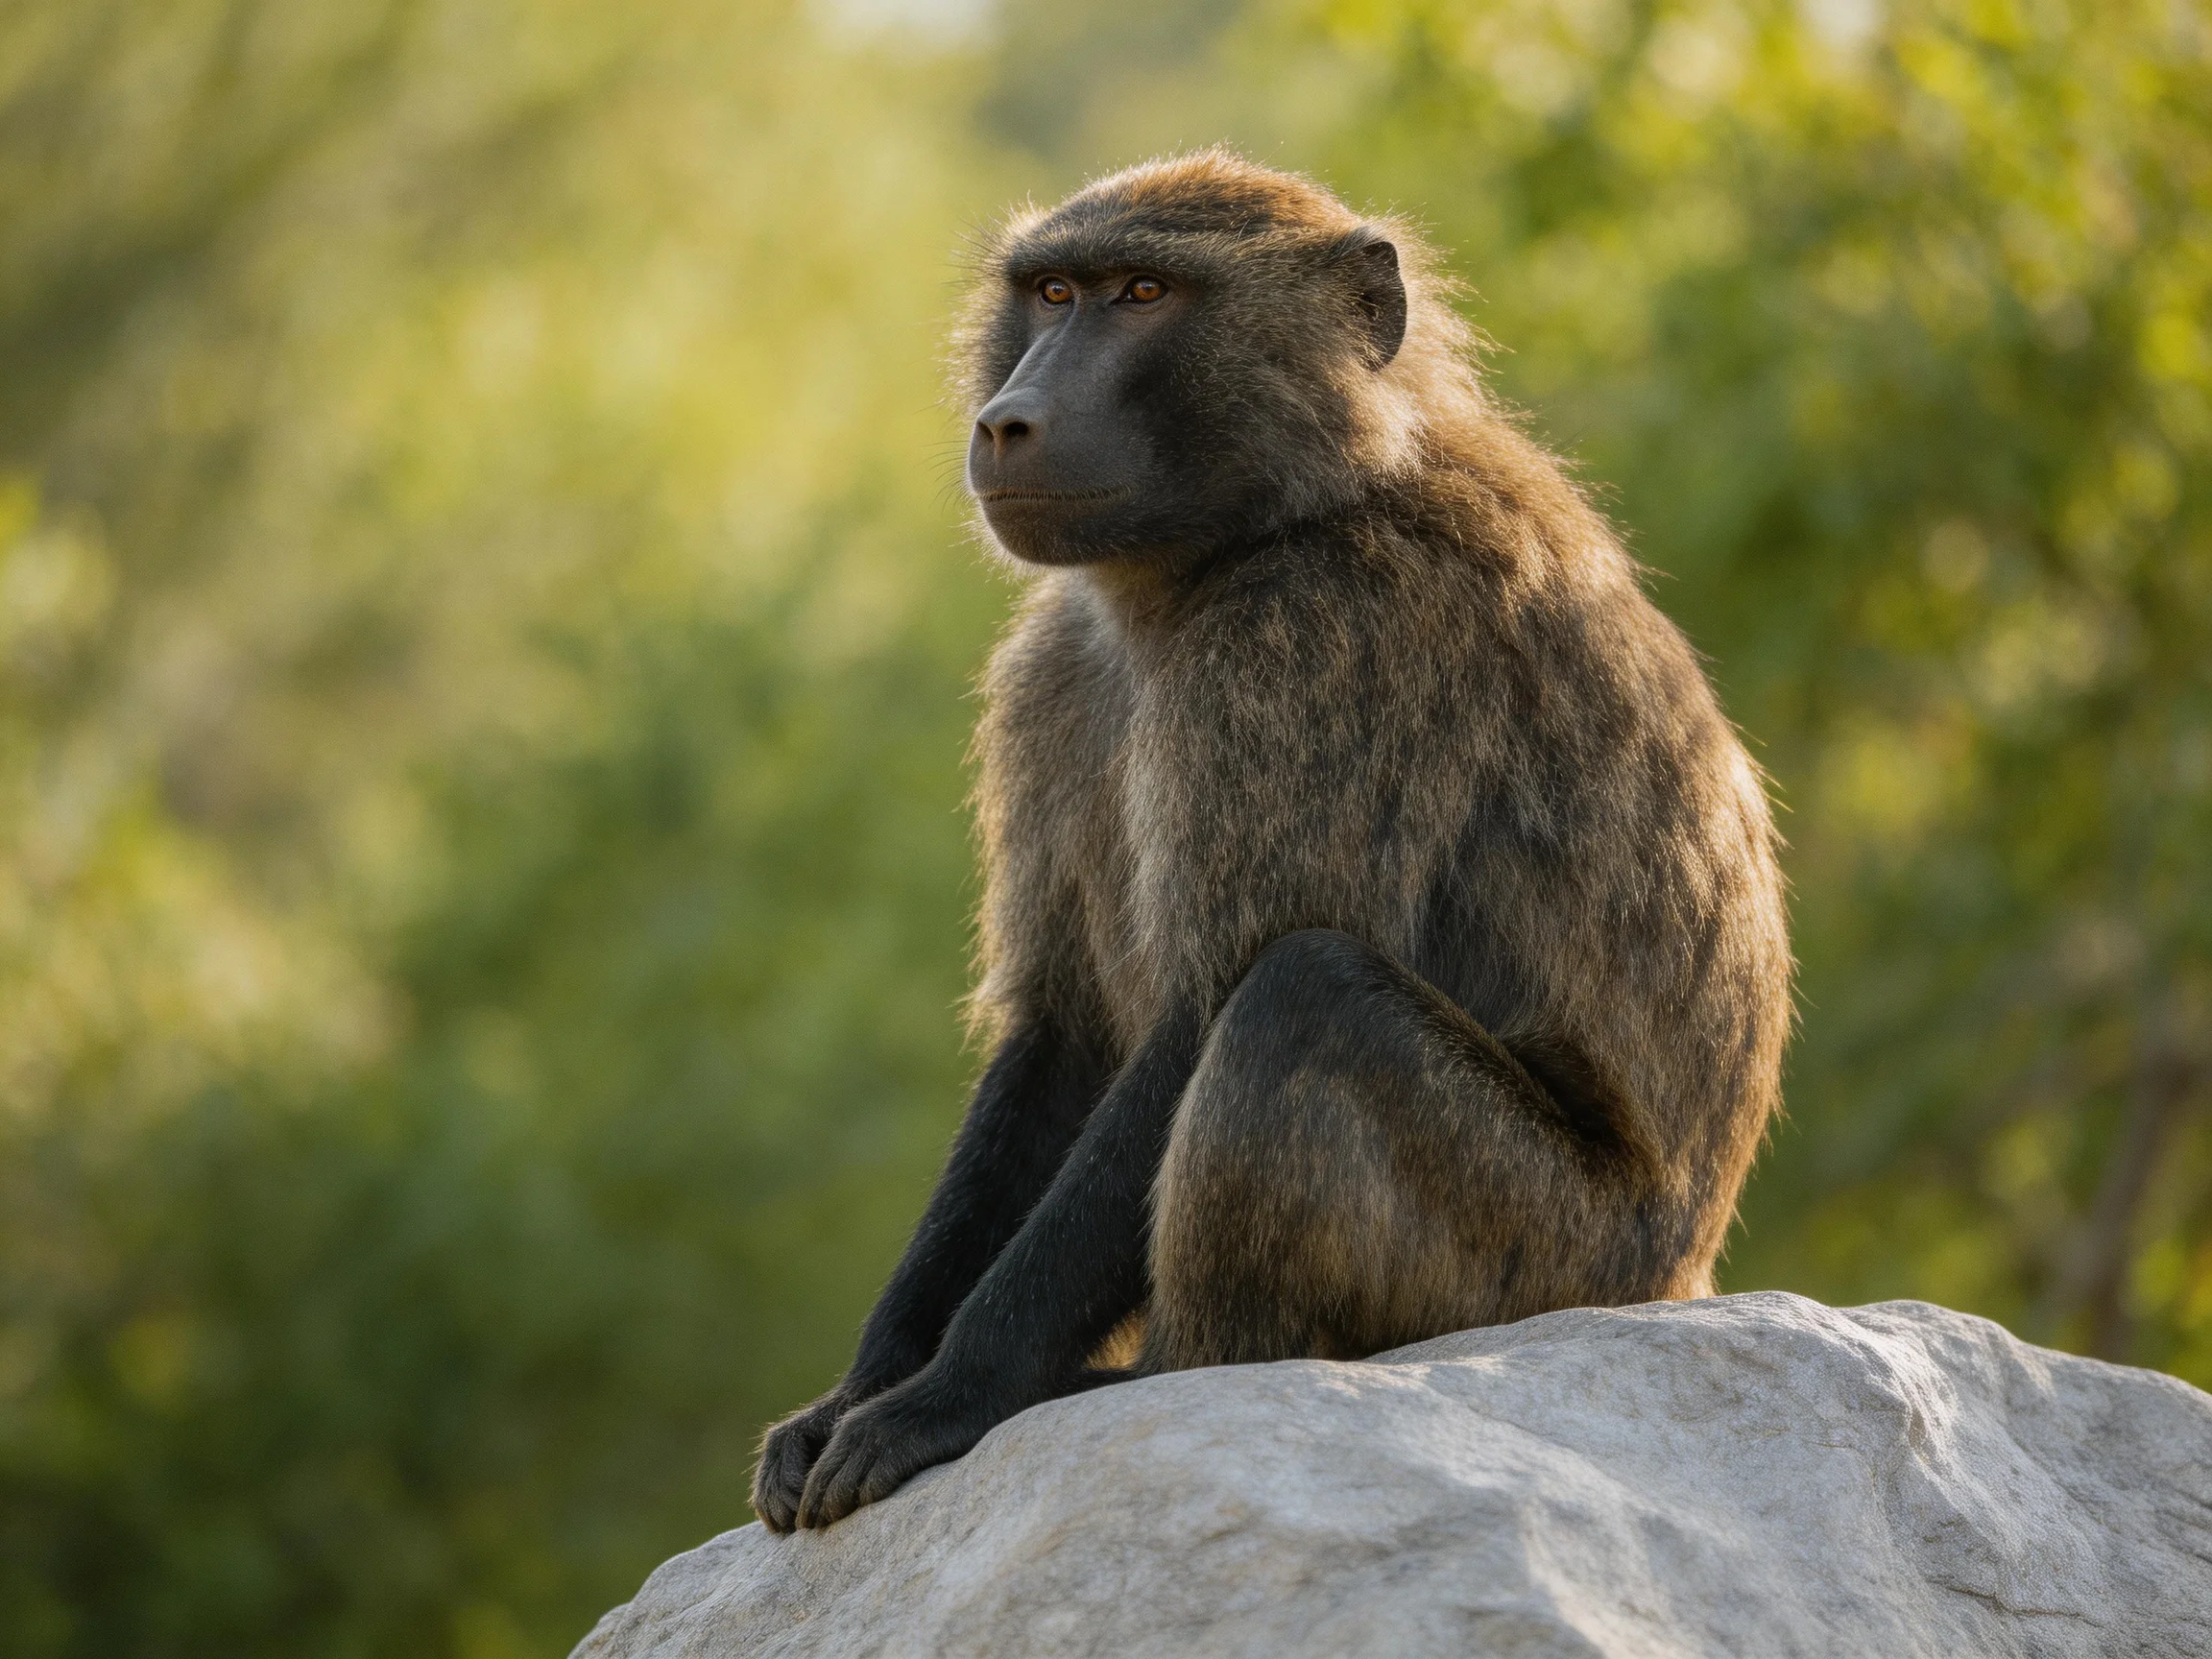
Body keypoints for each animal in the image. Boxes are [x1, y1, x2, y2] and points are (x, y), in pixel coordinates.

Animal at [750, 150, 1791, 1532]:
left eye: (1143, 294)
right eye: (1053, 291)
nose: (1009, 421)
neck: (1245, 535)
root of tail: (1680, 1276)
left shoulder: (1317, 638)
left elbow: (1200, 1014)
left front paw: (945, 1400)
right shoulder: (1056, 673)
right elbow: (1067, 1039)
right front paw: (857, 1391)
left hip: (1534, 1262)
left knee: (1303, 995)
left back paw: (1156, 1376)